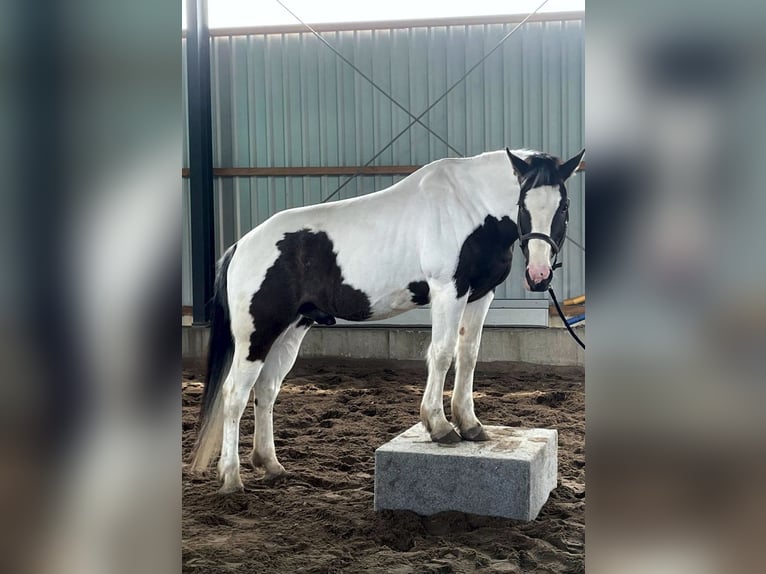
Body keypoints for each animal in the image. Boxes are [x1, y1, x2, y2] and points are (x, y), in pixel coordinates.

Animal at [190, 147, 585, 494]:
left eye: (563, 205)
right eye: (523, 203)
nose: (539, 275)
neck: (468, 206)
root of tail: (240, 246)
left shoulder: (480, 295)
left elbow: (469, 354)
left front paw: (470, 424)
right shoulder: (448, 291)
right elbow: (442, 353)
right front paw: (439, 426)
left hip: (289, 331)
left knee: (267, 390)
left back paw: (270, 464)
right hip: (255, 336)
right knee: (235, 394)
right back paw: (231, 478)